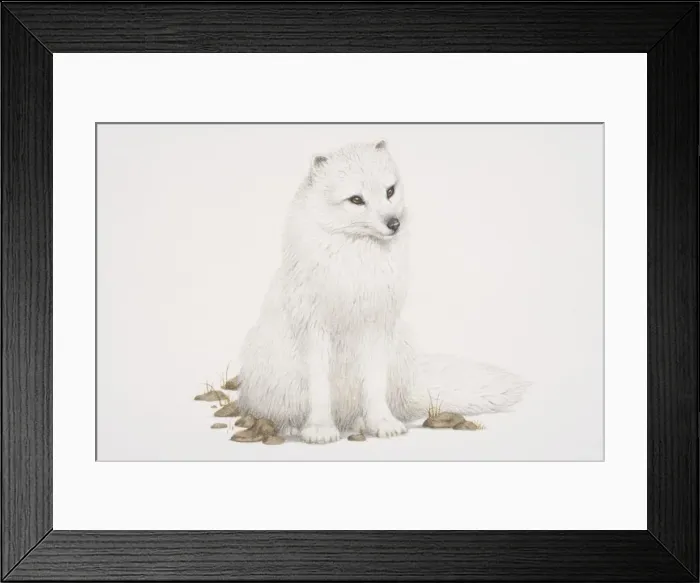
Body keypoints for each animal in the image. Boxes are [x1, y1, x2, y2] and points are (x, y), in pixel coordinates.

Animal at [236, 139, 528, 444]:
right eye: (356, 200)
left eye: (390, 191)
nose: (394, 223)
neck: (358, 264)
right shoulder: (315, 331)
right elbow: (319, 389)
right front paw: (319, 429)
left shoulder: (376, 327)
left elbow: (374, 385)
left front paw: (382, 423)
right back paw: (292, 426)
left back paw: (360, 423)